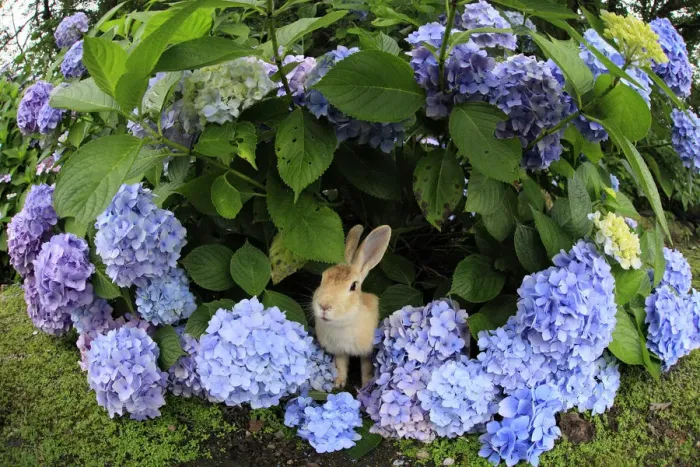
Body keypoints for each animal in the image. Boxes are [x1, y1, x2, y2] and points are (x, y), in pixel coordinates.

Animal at [312, 224, 392, 388]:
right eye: (322, 278)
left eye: (353, 286)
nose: (324, 305)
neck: (343, 323)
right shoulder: (339, 351)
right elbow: (341, 365)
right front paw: (338, 383)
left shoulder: (367, 351)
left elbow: (366, 367)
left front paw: (366, 384)